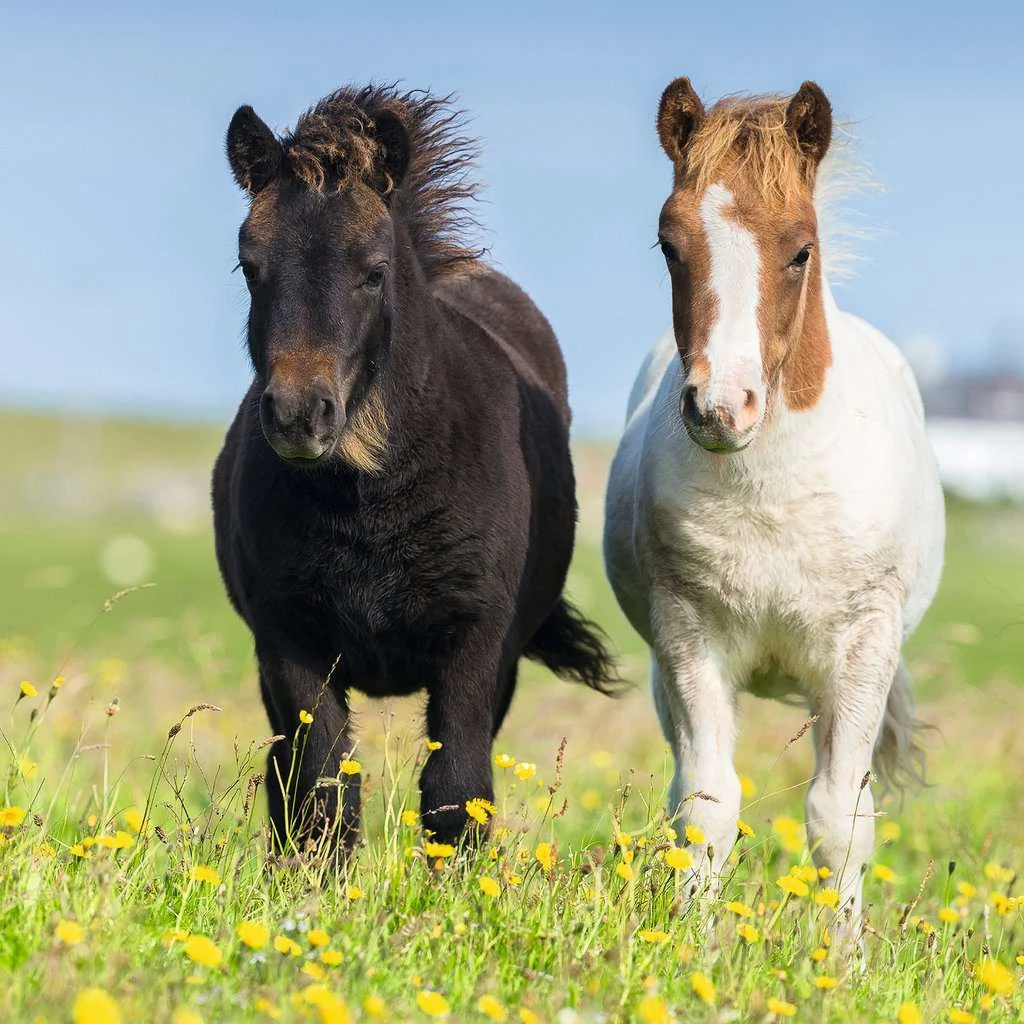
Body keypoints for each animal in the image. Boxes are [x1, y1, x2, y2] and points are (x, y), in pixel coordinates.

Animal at [212, 84, 614, 858]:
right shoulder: (289, 643)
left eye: (374, 272)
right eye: (249, 265)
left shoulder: (474, 645)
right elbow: (321, 793)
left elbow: (456, 794)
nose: (299, 416)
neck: (370, 499)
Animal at [603, 79, 945, 936]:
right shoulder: (688, 638)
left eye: (800, 250)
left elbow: (839, 819)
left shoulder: (861, 649)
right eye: (669, 245)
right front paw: (692, 947)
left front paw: (842, 956)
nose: (720, 409)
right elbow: (706, 807)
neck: (773, 491)